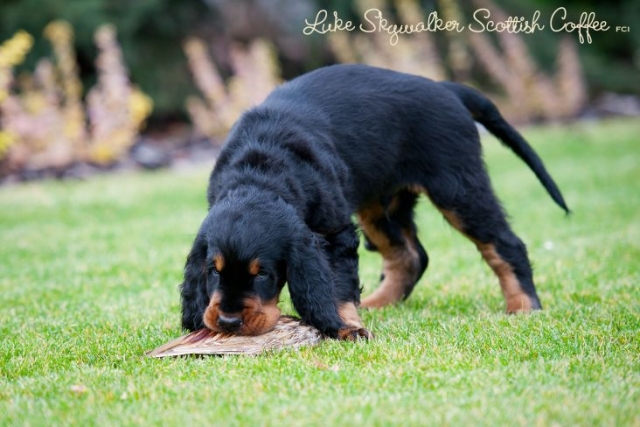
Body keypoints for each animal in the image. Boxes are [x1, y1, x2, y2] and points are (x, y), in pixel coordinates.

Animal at [178, 64, 568, 342]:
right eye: (214, 271)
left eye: (263, 275)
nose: (228, 320)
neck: (260, 171)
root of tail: (445, 87)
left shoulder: (334, 232)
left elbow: (337, 283)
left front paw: (345, 326)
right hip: (380, 203)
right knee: (410, 255)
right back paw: (379, 302)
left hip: (457, 186)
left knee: (504, 243)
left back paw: (524, 306)